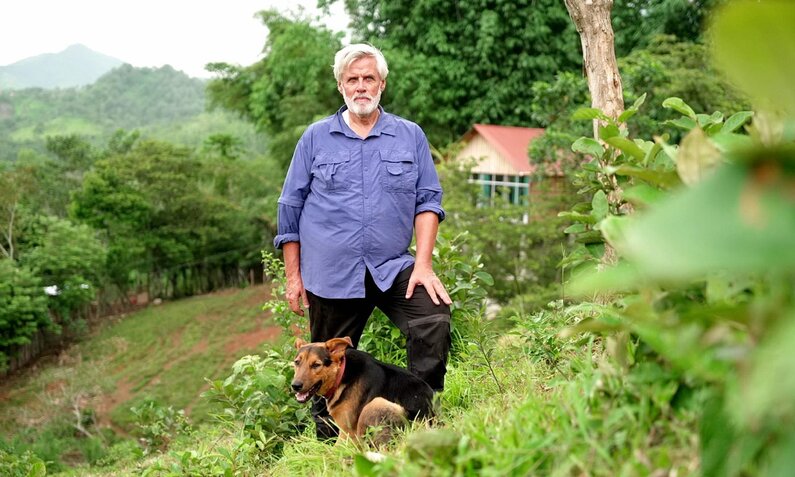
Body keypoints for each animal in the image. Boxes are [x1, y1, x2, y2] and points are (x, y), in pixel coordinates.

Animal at [290, 334, 432, 442]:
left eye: (316, 365)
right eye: (297, 362)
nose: (295, 386)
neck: (341, 375)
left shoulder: (347, 432)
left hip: (375, 404)